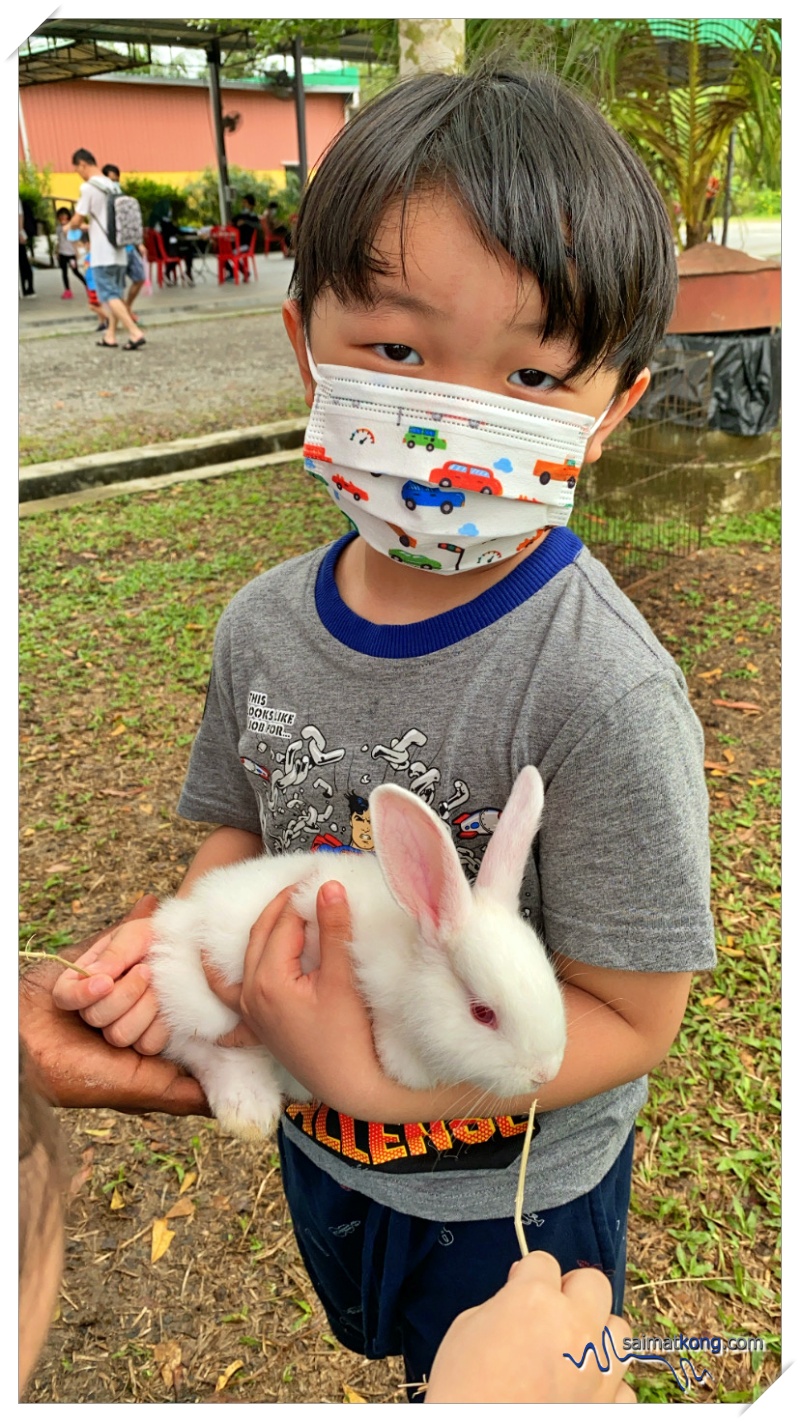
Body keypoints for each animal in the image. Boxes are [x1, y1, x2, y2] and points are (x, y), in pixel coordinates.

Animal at [147, 767, 565, 1143]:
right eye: (482, 1014)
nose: (544, 1074)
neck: (410, 969)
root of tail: (174, 921)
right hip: (206, 1004)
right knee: (202, 1047)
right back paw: (250, 1111)